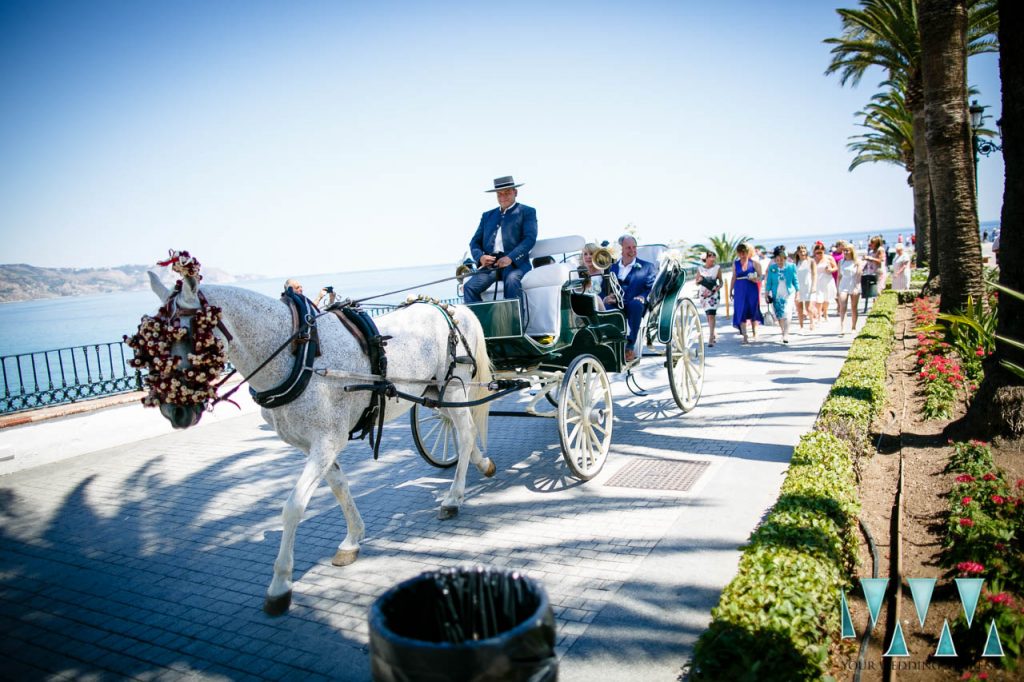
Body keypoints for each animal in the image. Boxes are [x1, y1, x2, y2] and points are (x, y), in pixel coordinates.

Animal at [145, 268, 495, 614]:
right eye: (150, 341)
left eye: (187, 336)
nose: (174, 410)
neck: (301, 356)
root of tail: (451, 309)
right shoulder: (311, 444)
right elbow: (339, 486)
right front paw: (353, 539)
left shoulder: (327, 440)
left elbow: (293, 507)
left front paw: (280, 584)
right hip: (434, 393)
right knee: (459, 426)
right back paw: (482, 463)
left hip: (453, 386)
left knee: (465, 432)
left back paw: (453, 497)